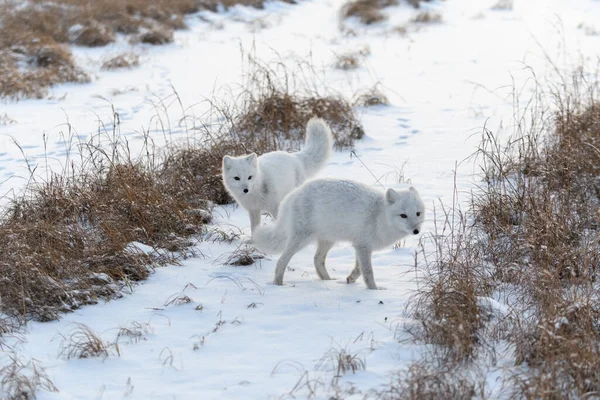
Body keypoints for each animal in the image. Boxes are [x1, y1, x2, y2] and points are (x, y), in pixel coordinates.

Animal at [251, 180, 424, 290]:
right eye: (403, 215)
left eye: (417, 213)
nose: (416, 231)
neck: (380, 216)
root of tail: (292, 195)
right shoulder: (363, 246)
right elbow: (368, 272)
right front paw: (374, 290)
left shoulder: (360, 245)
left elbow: (359, 269)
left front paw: (350, 279)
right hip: (301, 239)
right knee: (282, 261)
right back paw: (278, 285)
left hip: (328, 240)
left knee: (317, 260)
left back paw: (328, 281)